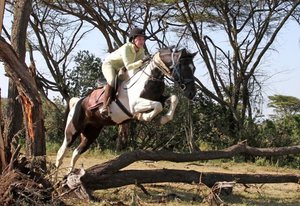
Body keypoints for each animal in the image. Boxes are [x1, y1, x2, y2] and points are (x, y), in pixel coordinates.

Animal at [55, 47, 198, 171]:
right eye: (183, 67)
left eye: (194, 68)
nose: (192, 93)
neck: (149, 79)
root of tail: (78, 102)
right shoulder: (135, 105)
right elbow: (157, 106)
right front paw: (145, 116)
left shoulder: (160, 98)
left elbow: (173, 98)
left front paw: (163, 119)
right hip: (72, 131)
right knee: (62, 151)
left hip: (91, 133)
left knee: (76, 152)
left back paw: (69, 175)